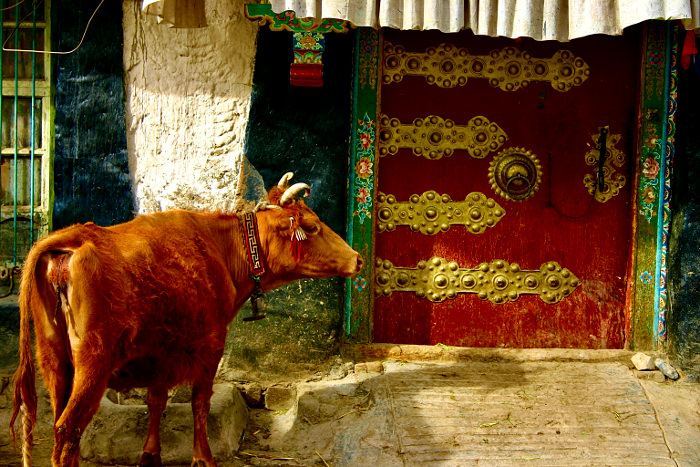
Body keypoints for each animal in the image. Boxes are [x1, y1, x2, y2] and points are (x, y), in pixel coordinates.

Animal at [9, 175, 360, 467]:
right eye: (312, 227)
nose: (357, 259)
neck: (222, 249)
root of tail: (73, 237)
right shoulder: (211, 345)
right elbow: (199, 404)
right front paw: (203, 458)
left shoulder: (161, 350)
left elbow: (156, 401)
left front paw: (151, 455)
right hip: (93, 363)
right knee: (68, 430)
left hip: (53, 360)